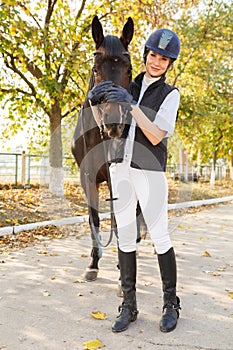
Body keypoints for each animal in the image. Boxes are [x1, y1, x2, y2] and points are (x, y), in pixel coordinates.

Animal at [71, 15, 144, 282]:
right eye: (95, 68)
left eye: (129, 69)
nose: (114, 123)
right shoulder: (87, 177)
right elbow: (94, 217)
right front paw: (93, 263)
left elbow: (117, 217)